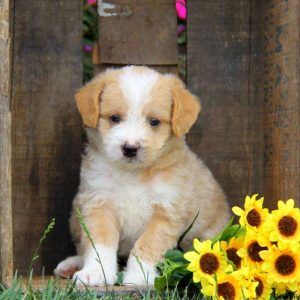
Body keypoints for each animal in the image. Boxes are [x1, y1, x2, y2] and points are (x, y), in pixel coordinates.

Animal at [54, 65, 229, 286]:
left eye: (154, 122)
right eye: (115, 118)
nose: (130, 148)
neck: (132, 174)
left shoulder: (165, 212)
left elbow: (147, 245)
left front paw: (139, 276)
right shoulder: (99, 203)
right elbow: (99, 243)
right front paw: (95, 273)